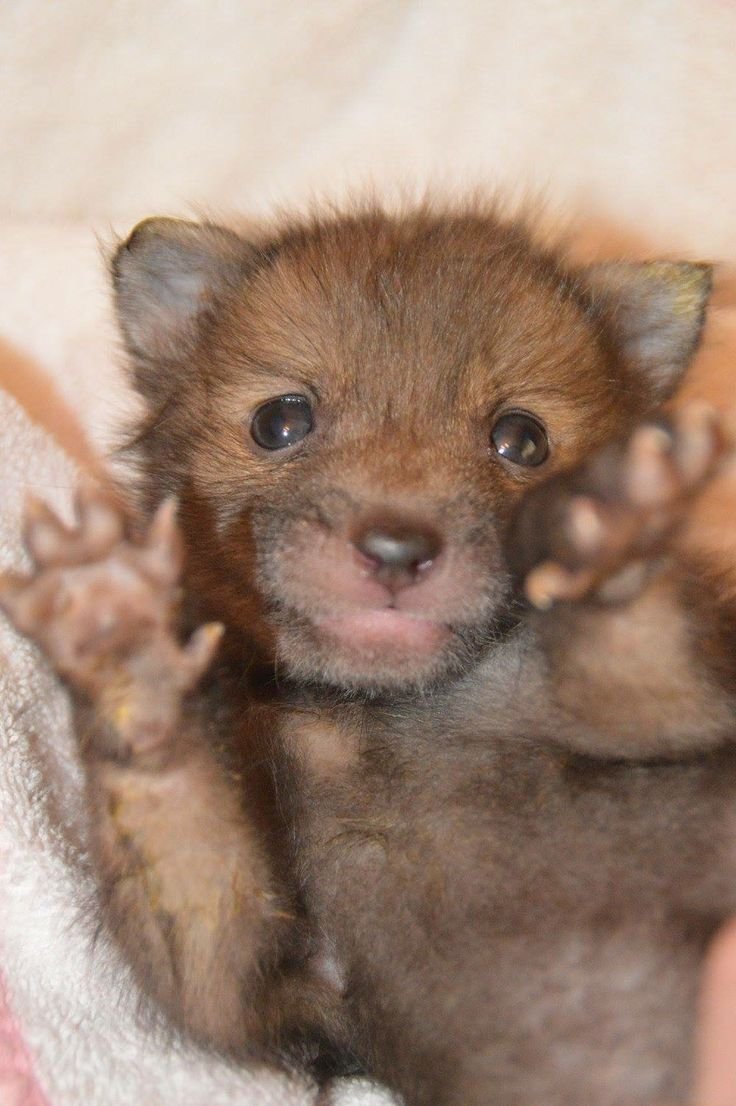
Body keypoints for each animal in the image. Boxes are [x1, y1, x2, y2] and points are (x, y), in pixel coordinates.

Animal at [2, 204, 736, 1105]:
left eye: (522, 439)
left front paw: (609, 525)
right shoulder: (275, 991)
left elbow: (640, 666)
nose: (396, 550)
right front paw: (114, 633)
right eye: (281, 421)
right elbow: (191, 872)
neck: (365, 715)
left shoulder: (691, 701)